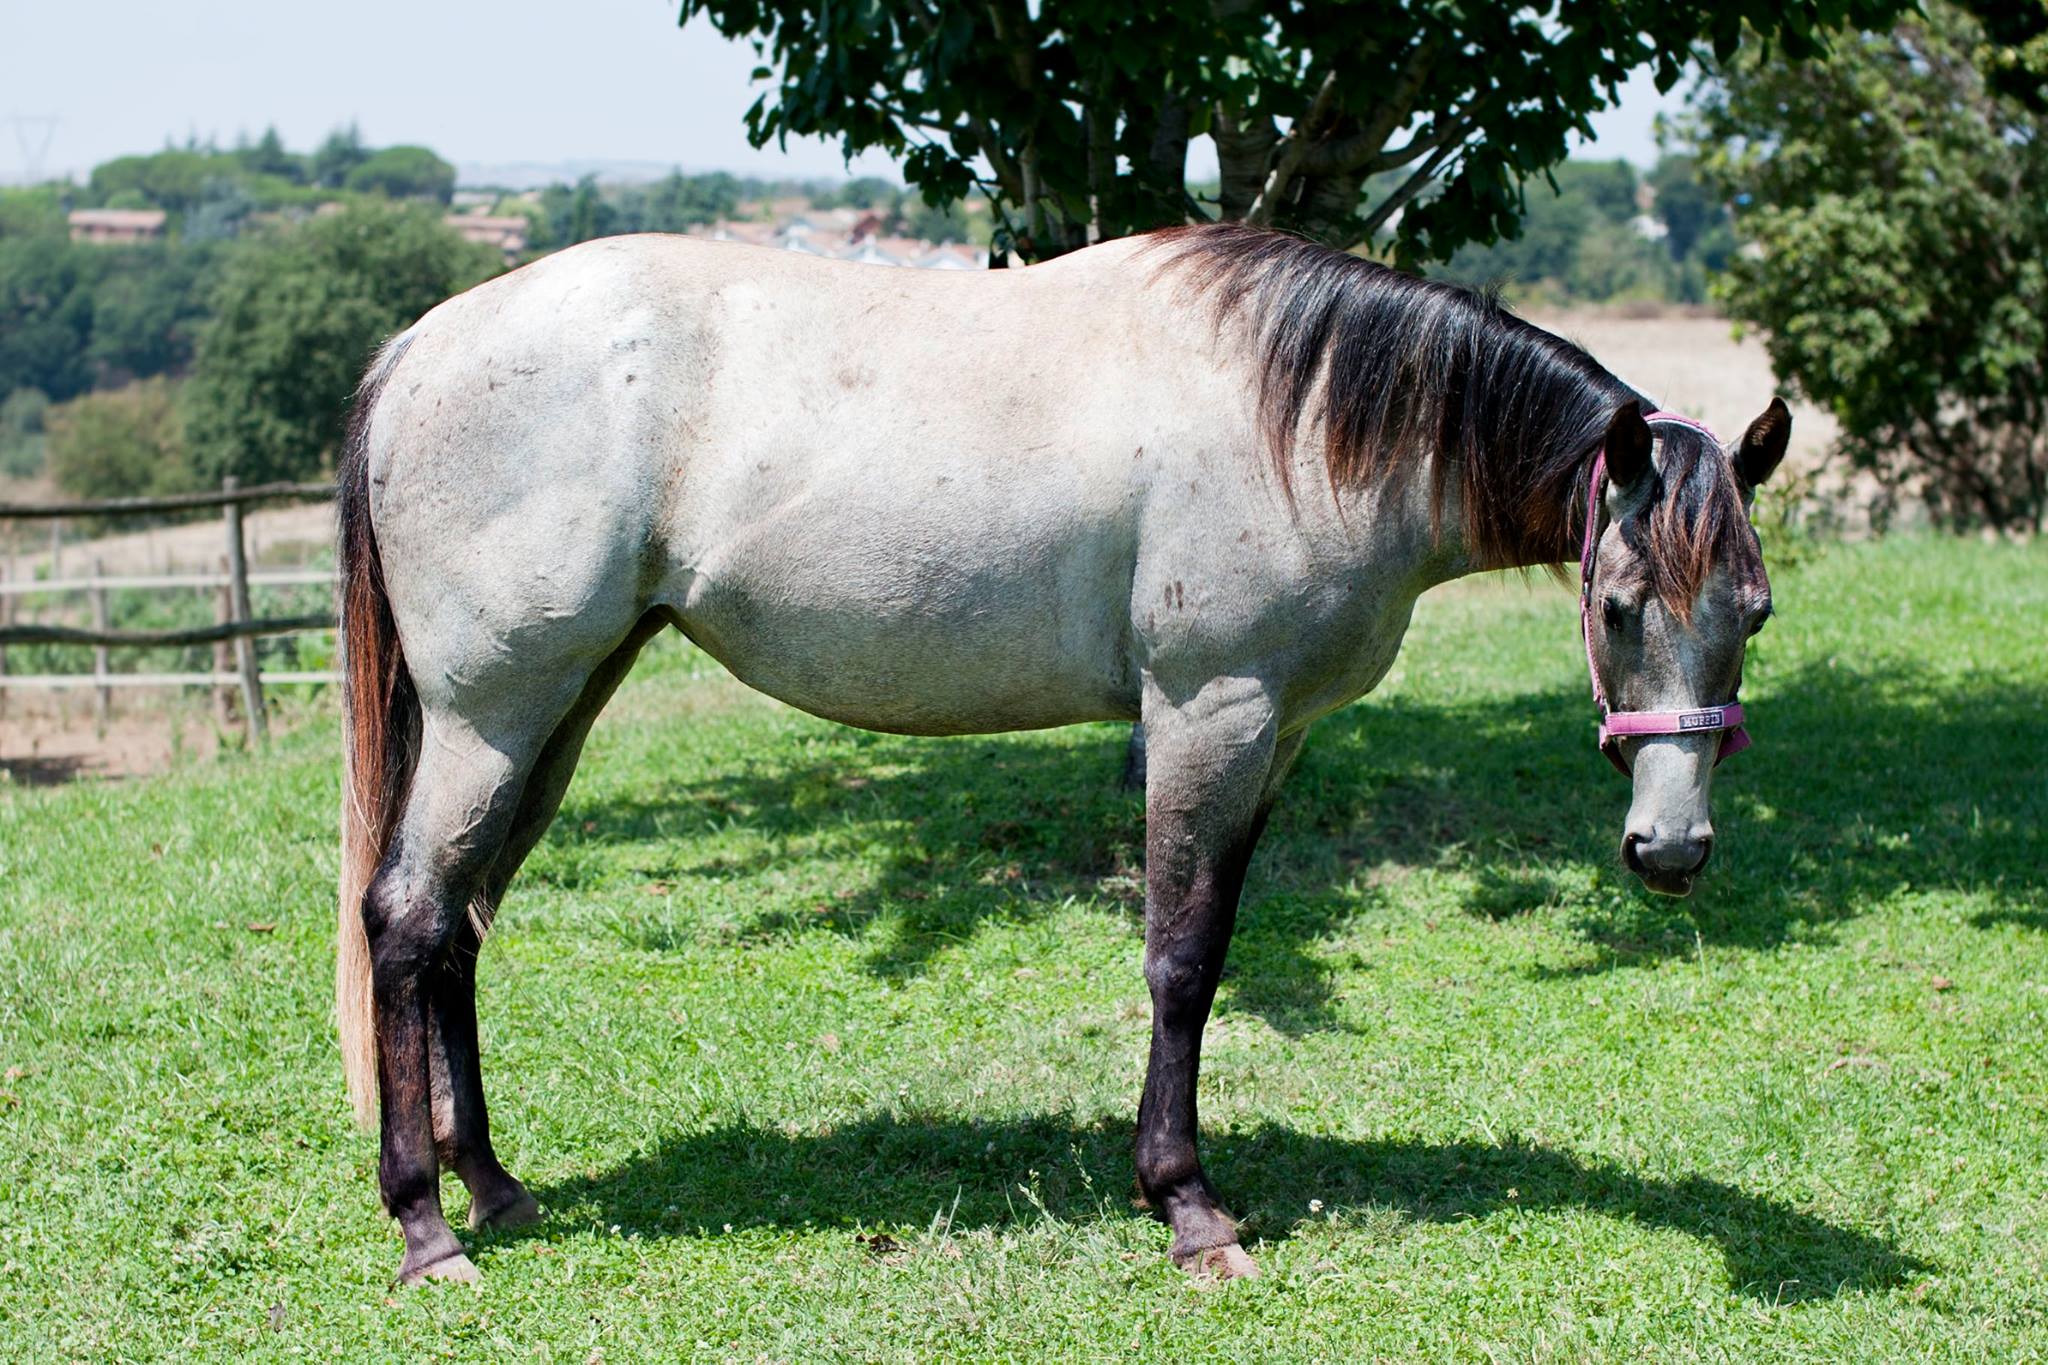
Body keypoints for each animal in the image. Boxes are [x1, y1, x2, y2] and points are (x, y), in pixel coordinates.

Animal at [334, 222, 1788, 1285]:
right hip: (494, 713)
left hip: (557, 710)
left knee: (457, 924)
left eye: (1754, 610)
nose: (1671, 849)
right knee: (405, 920)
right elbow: (1181, 960)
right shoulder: (1208, 715)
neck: (1301, 421)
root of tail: (416, 347)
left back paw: (495, 1188)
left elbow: (1214, 946)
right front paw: (1189, 1209)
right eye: (1617, 607)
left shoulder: (1279, 736)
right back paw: (427, 1230)